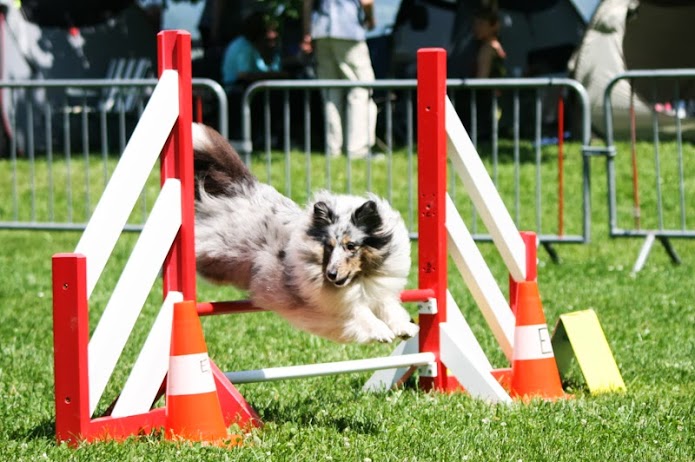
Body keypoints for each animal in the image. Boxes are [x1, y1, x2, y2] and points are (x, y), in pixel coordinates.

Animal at [192, 122, 418, 342]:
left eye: (351, 246)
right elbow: (359, 313)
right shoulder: (332, 306)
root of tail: (244, 189)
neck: (359, 279)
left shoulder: (377, 290)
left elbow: (389, 306)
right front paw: (381, 331)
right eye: (329, 246)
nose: (331, 274)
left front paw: (405, 327)